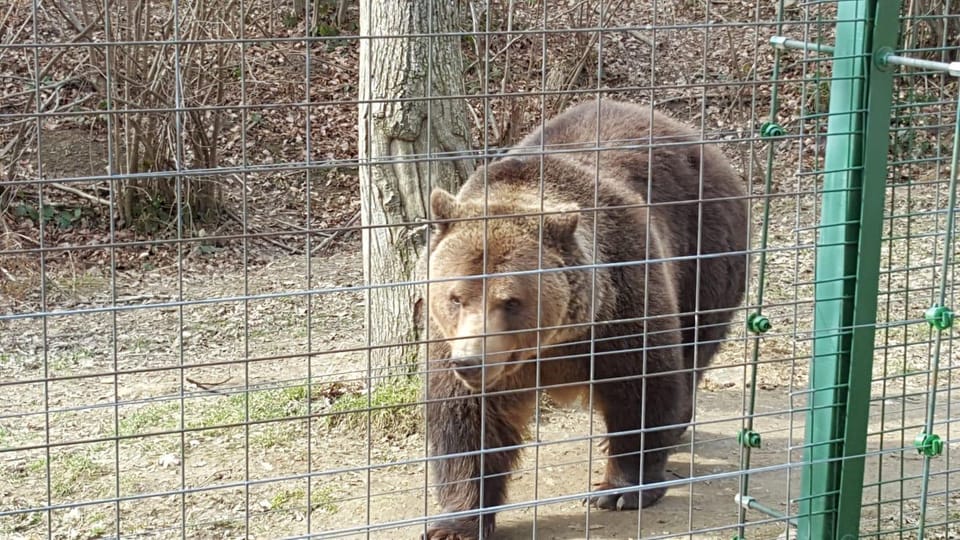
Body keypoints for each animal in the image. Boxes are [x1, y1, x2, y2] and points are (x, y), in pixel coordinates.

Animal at [422, 98, 752, 540]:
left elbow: (642, 386)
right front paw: (456, 522)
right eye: (455, 297)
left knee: (694, 349)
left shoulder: (620, 303)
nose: (471, 362)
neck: (550, 345)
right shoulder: (453, 344)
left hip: (705, 257)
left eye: (510, 301)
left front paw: (620, 489)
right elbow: (468, 422)